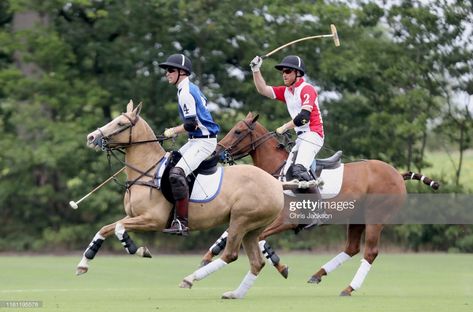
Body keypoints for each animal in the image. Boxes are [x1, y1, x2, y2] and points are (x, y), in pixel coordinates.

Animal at [77, 102, 284, 300]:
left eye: (120, 123)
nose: (91, 137)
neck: (147, 172)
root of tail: (276, 183)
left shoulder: (153, 219)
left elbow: (119, 228)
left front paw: (139, 249)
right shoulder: (133, 216)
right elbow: (105, 229)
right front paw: (83, 265)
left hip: (241, 221)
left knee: (231, 254)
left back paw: (190, 279)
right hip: (252, 228)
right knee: (256, 262)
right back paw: (235, 294)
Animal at [197, 111, 436, 294]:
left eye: (238, 131)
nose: (216, 152)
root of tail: (397, 174)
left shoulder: (285, 221)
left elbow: (260, 239)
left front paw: (280, 265)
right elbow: (232, 232)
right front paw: (208, 256)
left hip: (375, 217)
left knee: (370, 252)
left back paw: (349, 288)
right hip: (355, 218)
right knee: (351, 248)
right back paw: (318, 274)